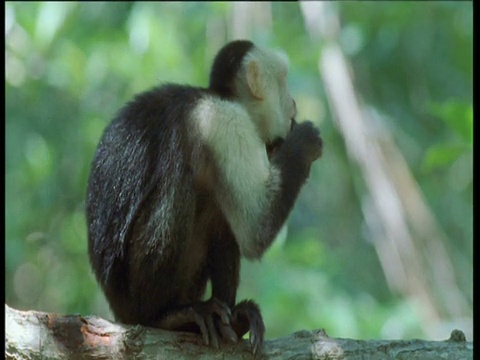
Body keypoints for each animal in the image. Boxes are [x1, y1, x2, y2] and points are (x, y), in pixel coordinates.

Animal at [88, 40, 324, 354]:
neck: (223, 97)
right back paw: (166, 316)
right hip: (130, 298)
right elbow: (256, 227)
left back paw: (232, 318)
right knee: (182, 181)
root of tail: (118, 310)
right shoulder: (226, 121)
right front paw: (305, 142)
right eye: (284, 81)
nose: (294, 103)